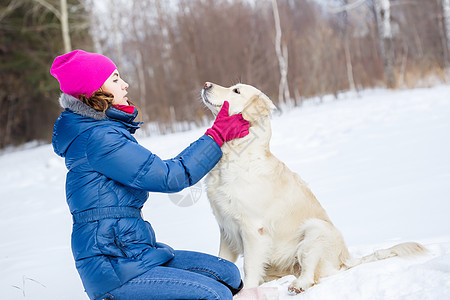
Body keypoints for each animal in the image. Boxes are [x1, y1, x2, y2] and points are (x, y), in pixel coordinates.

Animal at [202, 81, 428, 292]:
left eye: (236, 91)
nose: (206, 84)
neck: (233, 157)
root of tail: (345, 260)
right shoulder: (226, 228)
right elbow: (223, 261)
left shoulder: (253, 229)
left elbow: (249, 268)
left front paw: (247, 292)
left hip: (315, 231)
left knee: (310, 274)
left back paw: (298, 285)